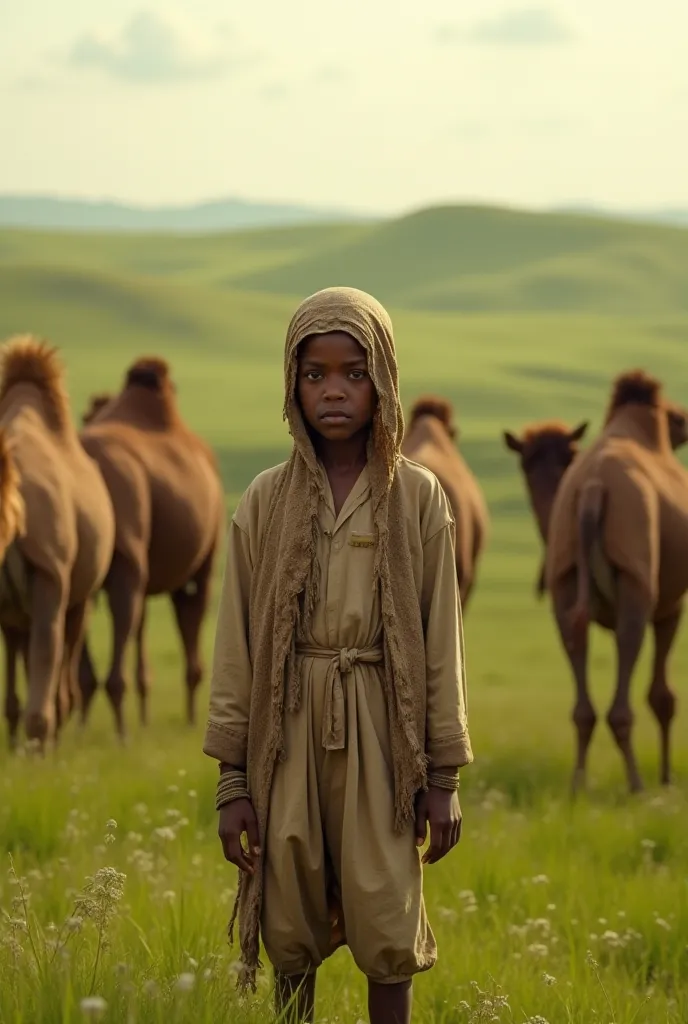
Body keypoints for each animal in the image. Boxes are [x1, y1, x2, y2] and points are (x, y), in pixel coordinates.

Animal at [513, 372, 688, 794]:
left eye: (568, 453)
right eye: (676, 419)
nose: (685, 421)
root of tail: (593, 489)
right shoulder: (671, 604)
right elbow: (664, 696)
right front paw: (667, 779)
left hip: (565, 580)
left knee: (579, 675)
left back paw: (578, 786)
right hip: (637, 577)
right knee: (628, 656)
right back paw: (638, 785)